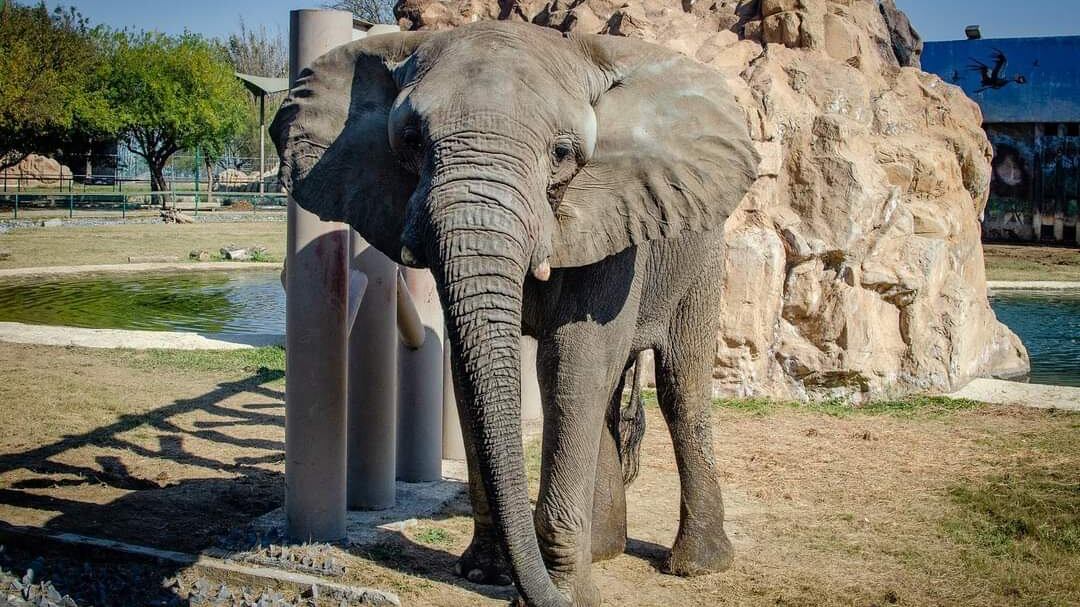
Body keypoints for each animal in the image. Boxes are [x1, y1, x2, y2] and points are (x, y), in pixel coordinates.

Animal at [271, 21, 758, 607]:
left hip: (702, 255)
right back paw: (605, 552)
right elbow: (467, 374)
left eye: (563, 152)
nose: (532, 593)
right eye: (410, 142)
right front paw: (485, 575)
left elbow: (567, 364)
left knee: (679, 387)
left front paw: (567, 596)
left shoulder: (611, 218)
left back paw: (696, 566)